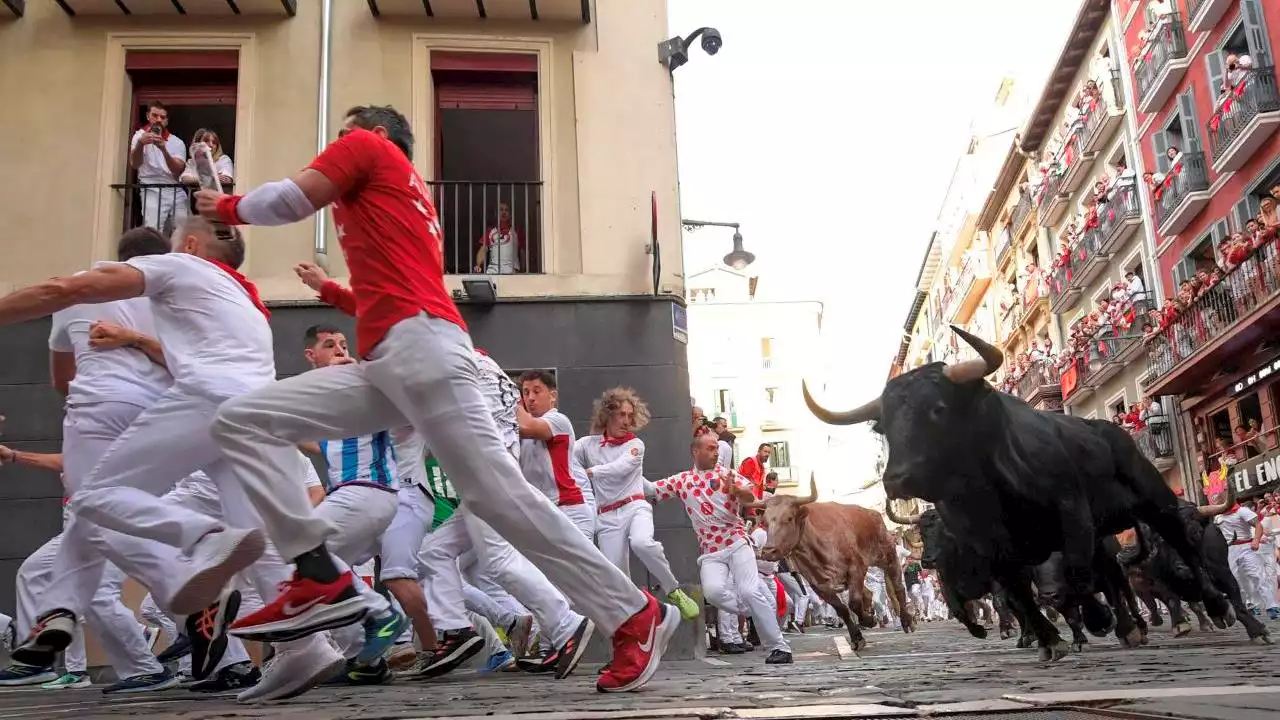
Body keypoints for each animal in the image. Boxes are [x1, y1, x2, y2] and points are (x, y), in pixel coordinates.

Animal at [808, 325, 1239, 655]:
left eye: (938, 409)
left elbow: (1074, 575)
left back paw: (1212, 606)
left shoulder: (1072, 513)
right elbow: (1016, 595)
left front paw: (1096, 620)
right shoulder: (992, 546)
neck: (989, 487)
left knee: (1178, 541)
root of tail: (1112, 432)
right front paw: (1049, 639)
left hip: (1153, 498)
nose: (897, 478)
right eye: (883, 424)